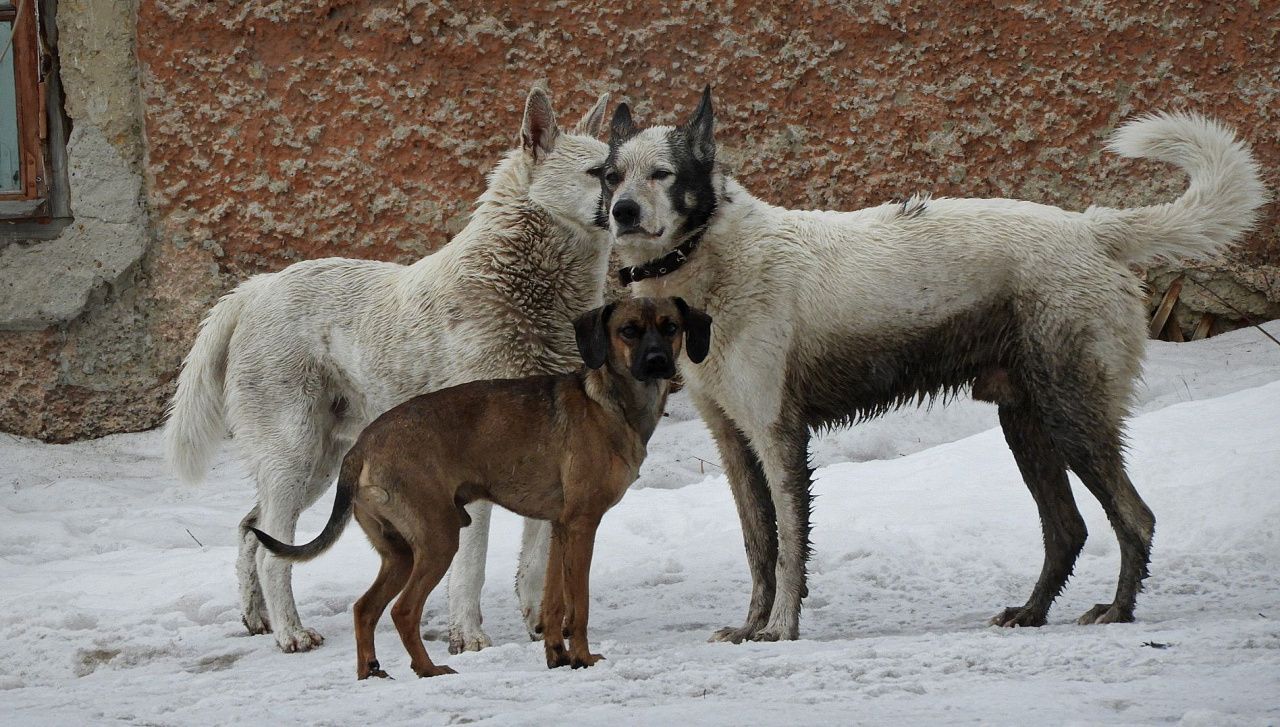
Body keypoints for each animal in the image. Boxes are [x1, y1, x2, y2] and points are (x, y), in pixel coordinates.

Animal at [165, 88, 614, 655]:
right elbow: (471, 568)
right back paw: (291, 633)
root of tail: (254, 289)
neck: (523, 287)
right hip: (295, 457)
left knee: (252, 530)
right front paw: (469, 638)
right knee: (271, 551)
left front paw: (539, 629)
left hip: (319, 466)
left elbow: (533, 564)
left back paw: (258, 619)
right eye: (602, 173)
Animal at [249, 296, 711, 680]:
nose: (657, 360)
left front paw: (557, 656)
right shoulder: (582, 525)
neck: (610, 404)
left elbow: (553, 602)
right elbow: (578, 604)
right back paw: (428, 669)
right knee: (403, 611)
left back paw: (371, 673)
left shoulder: (560, 529)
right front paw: (581, 657)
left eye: (670, 327)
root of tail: (362, 446)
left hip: (399, 553)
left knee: (365, 609)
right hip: (438, 540)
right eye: (628, 330)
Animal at [604, 86, 1264, 642]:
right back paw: (1031, 613)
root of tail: (1093, 229)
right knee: (1067, 530)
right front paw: (749, 627)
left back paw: (1118, 612)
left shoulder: (779, 437)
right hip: (1026, 425)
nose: (622, 211)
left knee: (1136, 518)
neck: (713, 253)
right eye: (611, 176)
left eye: (662, 174)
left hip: (1074, 419)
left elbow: (790, 547)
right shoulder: (734, 443)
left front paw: (781, 630)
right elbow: (758, 545)